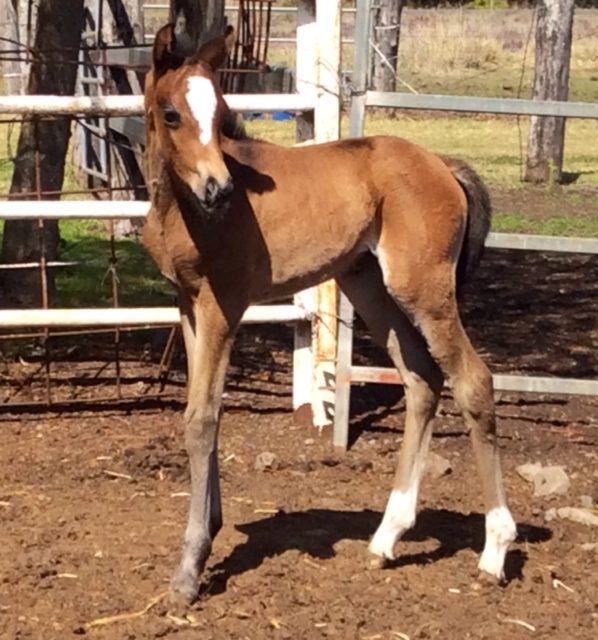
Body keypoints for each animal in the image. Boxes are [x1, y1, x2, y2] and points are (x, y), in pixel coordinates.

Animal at [142, 20, 517, 604]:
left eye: (222, 112)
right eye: (172, 112)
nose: (218, 189)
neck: (180, 209)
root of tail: (442, 165)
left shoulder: (223, 304)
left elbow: (201, 418)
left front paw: (190, 567)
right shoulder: (188, 302)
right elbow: (207, 411)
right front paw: (211, 529)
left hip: (423, 290)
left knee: (473, 380)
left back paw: (495, 551)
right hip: (370, 287)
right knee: (422, 379)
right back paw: (386, 538)